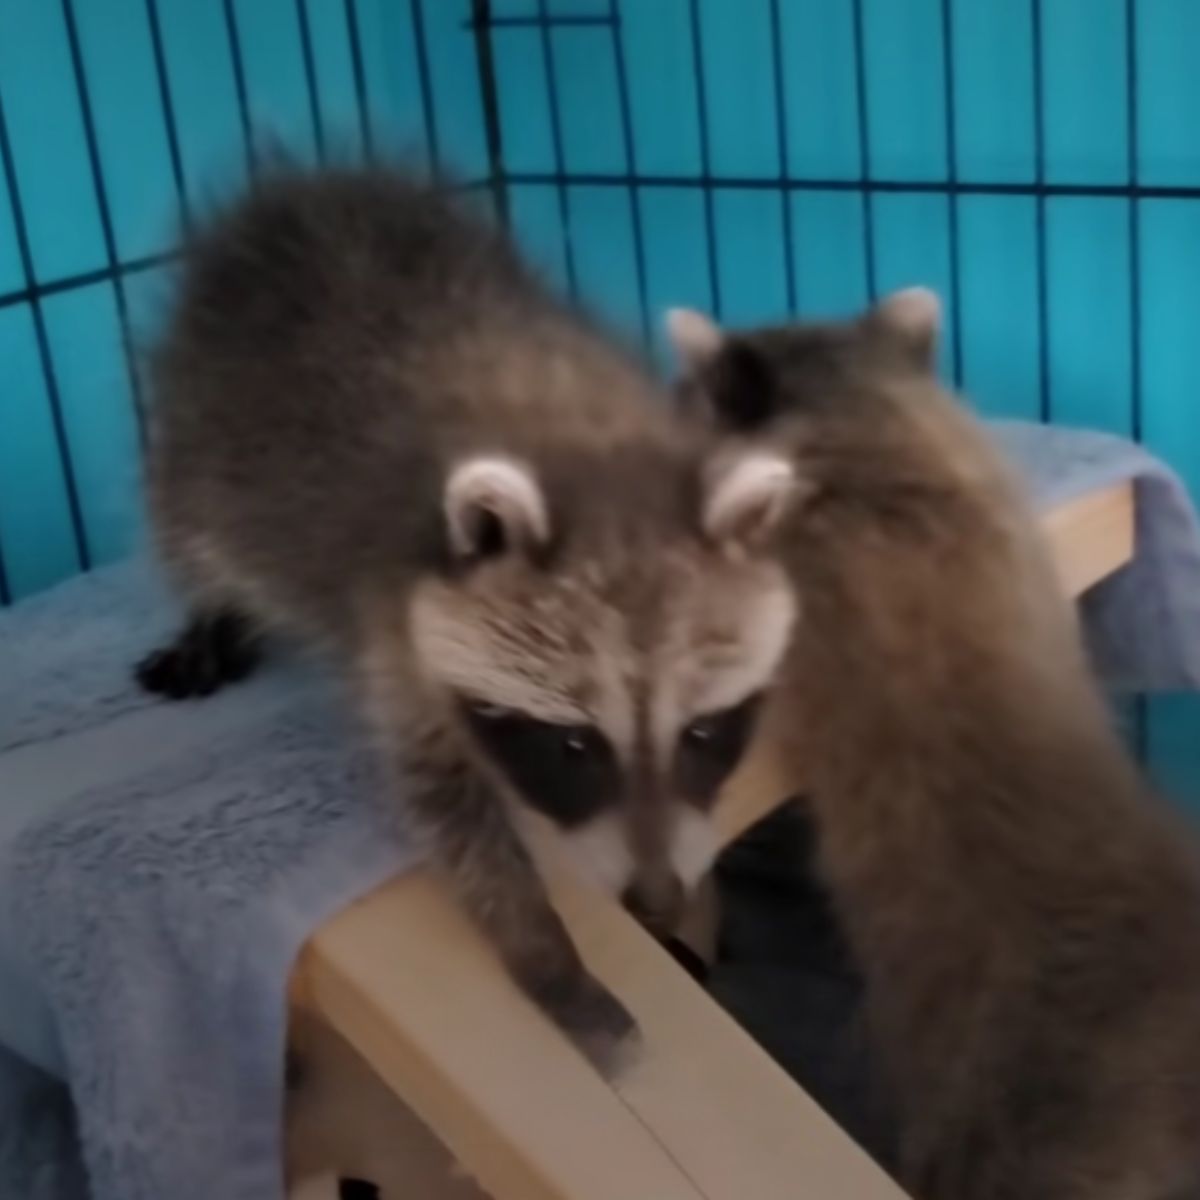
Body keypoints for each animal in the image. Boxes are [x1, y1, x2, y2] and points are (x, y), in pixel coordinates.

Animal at [136, 166, 801, 1070]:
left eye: (701, 731)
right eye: (573, 744)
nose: (656, 900)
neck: (583, 445)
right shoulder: (396, 616)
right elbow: (450, 808)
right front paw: (544, 952)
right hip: (201, 423)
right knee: (189, 527)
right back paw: (209, 609)